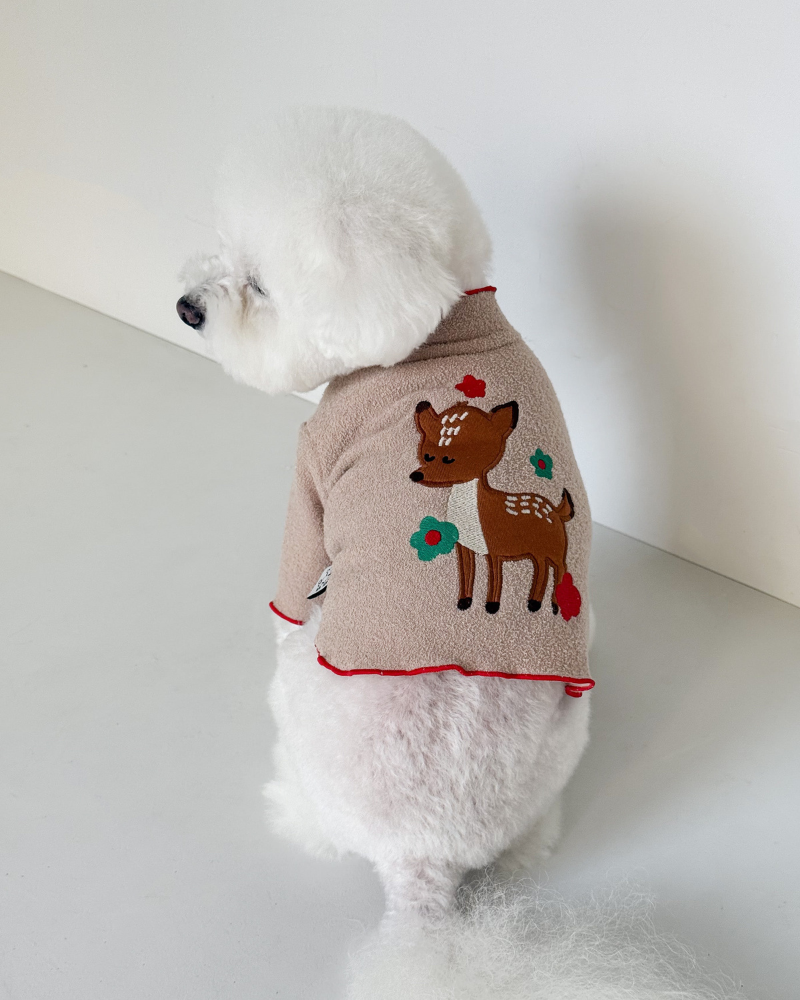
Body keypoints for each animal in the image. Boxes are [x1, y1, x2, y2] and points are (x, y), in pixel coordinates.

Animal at [410, 399, 575, 615]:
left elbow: (495, 578)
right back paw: (534, 602)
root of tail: (556, 510)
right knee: (542, 569)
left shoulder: (495, 549)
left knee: (560, 568)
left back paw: (554, 605)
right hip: (537, 552)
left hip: (556, 548)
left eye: (448, 459)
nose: (416, 475)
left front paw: (492, 605)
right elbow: (467, 575)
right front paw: (464, 601)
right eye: (427, 455)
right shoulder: (463, 546)